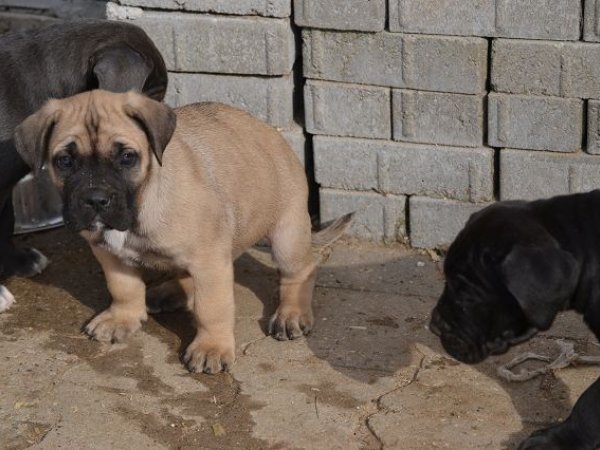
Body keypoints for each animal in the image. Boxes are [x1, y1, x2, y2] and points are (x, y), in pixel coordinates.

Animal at [13, 89, 352, 374]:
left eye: (127, 157)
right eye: (64, 161)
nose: (96, 199)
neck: (141, 203)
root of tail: (275, 135)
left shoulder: (209, 260)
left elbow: (211, 307)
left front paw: (211, 347)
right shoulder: (108, 252)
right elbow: (122, 287)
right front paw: (122, 317)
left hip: (286, 235)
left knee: (301, 270)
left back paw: (291, 314)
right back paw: (168, 291)